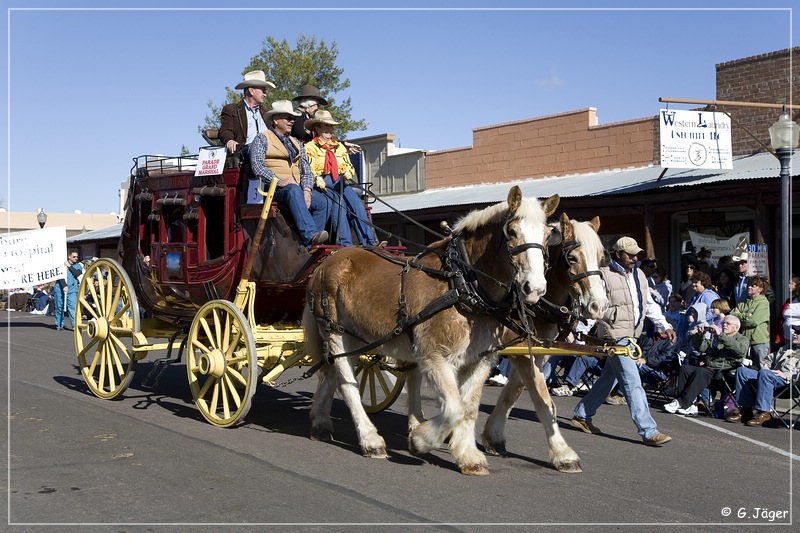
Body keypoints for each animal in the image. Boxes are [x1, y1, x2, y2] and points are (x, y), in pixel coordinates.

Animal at [304, 186, 560, 474]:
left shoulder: (480, 359)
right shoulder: (434, 356)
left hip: (358, 338)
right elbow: (454, 408)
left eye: (548, 235)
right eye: (512, 232)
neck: (462, 284)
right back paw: (371, 440)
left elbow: (468, 408)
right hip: (335, 332)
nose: (534, 288)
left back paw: (320, 422)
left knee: (331, 374)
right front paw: (421, 439)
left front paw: (467, 454)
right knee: (346, 382)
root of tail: (327, 262)